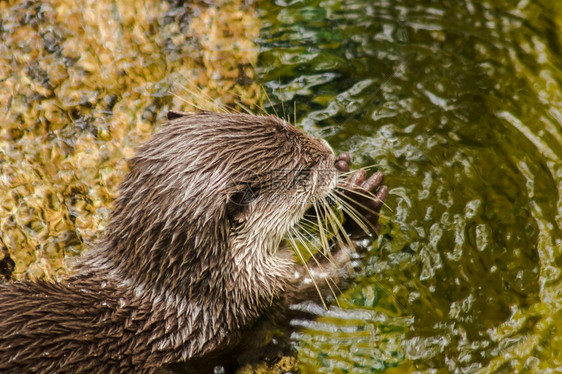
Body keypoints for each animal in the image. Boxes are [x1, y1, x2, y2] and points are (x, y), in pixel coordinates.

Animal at [0, 109, 384, 372]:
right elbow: (319, 285)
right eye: (304, 173)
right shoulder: (248, 305)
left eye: (286, 125)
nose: (330, 152)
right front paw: (362, 202)